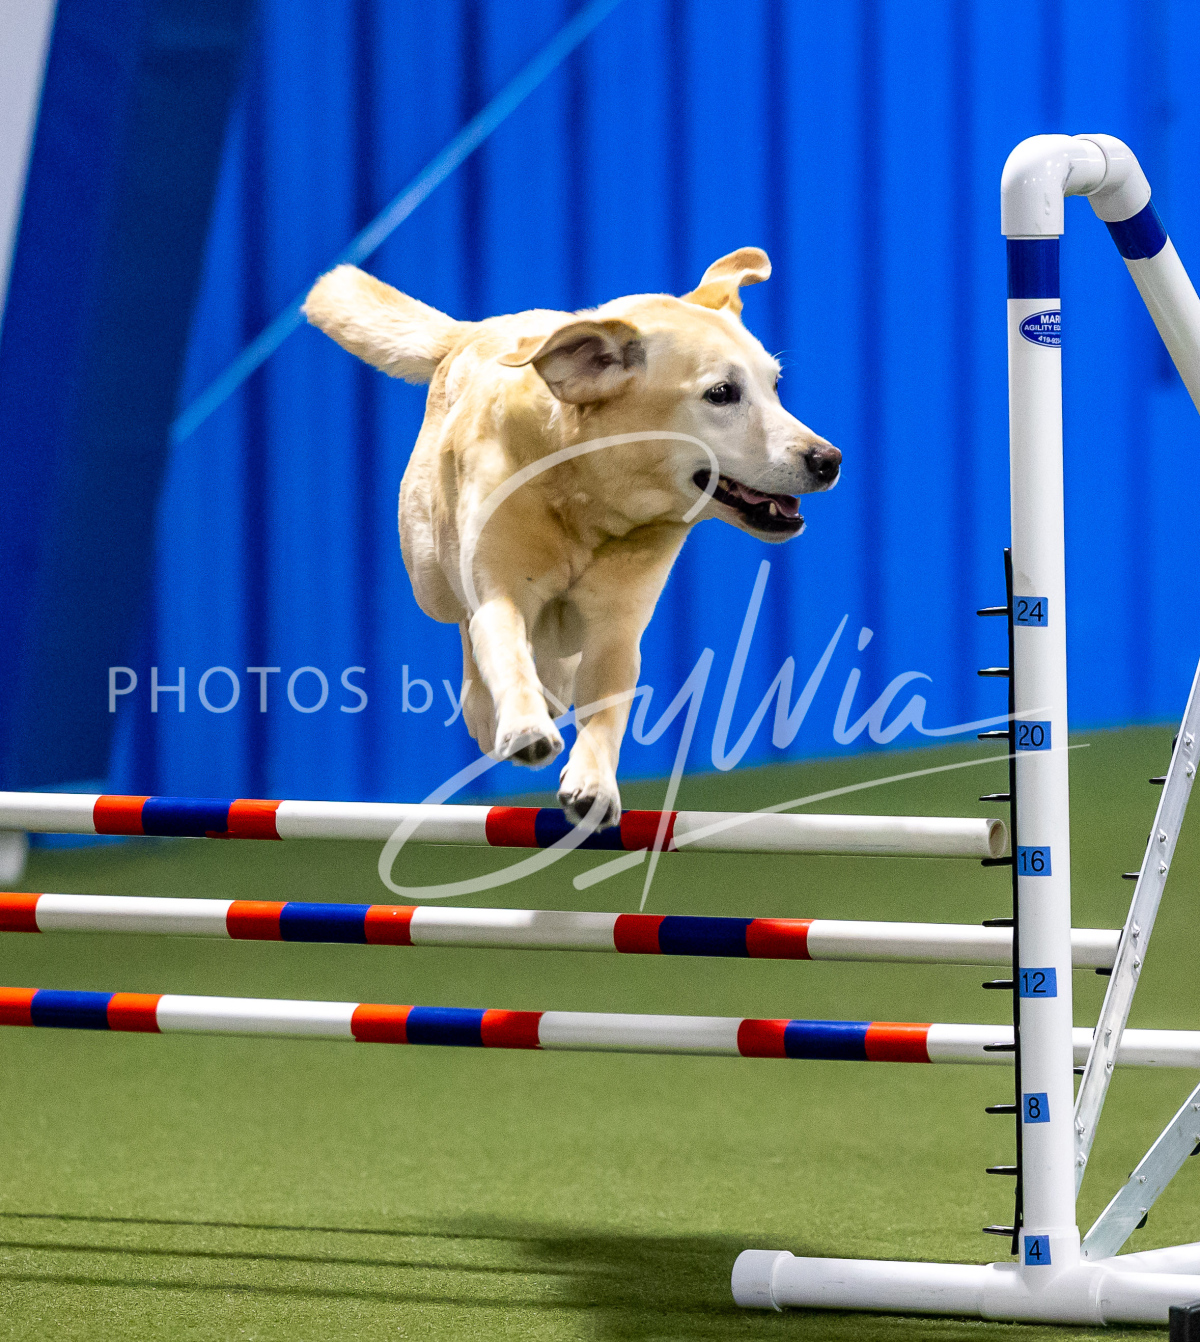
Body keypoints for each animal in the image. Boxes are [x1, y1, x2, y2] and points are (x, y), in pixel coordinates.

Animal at [303, 248, 840, 827]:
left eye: (775, 386)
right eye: (722, 394)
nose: (828, 460)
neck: (589, 495)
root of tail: (470, 330)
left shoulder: (616, 626)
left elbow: (607, 709)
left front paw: (593, 784)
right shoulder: (498, 590)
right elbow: (504, 650)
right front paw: (524, 727)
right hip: (430, 574)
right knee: (471, 635)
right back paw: (491, 712)